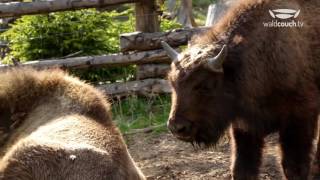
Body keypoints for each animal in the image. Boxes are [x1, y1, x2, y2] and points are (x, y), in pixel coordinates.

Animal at [162, 0, 320, 179]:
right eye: (172, 83)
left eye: (205, 85)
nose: (177, 128)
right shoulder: (244, 126)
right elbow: (242, 168)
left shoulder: (299, 117)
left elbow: (293, 167)